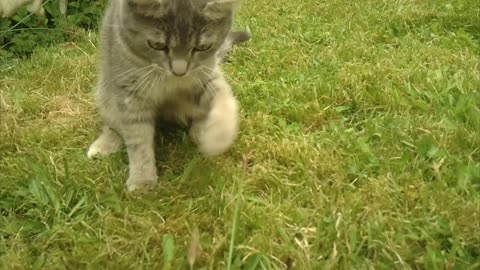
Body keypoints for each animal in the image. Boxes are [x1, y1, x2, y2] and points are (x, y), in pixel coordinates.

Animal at [87, 0, 249, 192]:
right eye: (157, 45)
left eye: (202, 47)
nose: (179, 71)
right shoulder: (130, 92)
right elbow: (137, 137)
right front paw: (142, 180)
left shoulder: (205, 75)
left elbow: (224, 98)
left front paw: (219, 137)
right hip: (105, 92)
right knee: (113, 124)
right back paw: (104, 144)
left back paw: (200, 130)